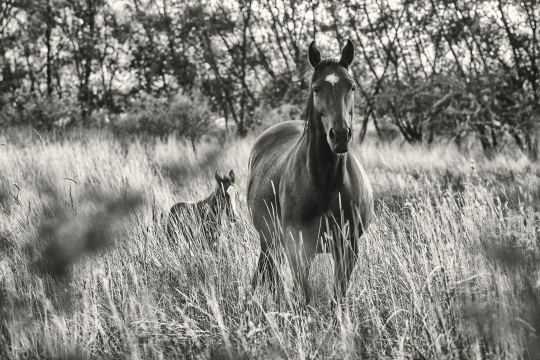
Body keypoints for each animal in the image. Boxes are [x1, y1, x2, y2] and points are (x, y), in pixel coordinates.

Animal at [247, 40, 374, 306]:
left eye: (352, 86)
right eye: (317, 88)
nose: (340, 135)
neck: (325, 184)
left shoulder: (348, 248)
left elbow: (338, 296)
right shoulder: (297, 246)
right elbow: (304, 297)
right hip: (269, 239)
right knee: (269, 272)